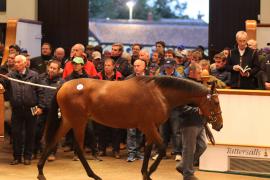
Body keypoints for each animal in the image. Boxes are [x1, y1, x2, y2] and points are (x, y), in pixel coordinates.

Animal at [37, 75, 223, 180]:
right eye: (215, 102)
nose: (220, 125)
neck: (159, 94)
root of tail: (63, 85)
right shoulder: (148, 126)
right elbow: (162, 149)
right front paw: (150, 172)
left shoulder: (151, 127)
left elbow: (148, 150)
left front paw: (145, 173)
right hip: (78, 122)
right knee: (78, 148)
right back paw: (95, 175)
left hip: (68, 121)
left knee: (51, 142)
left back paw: (40, 172)